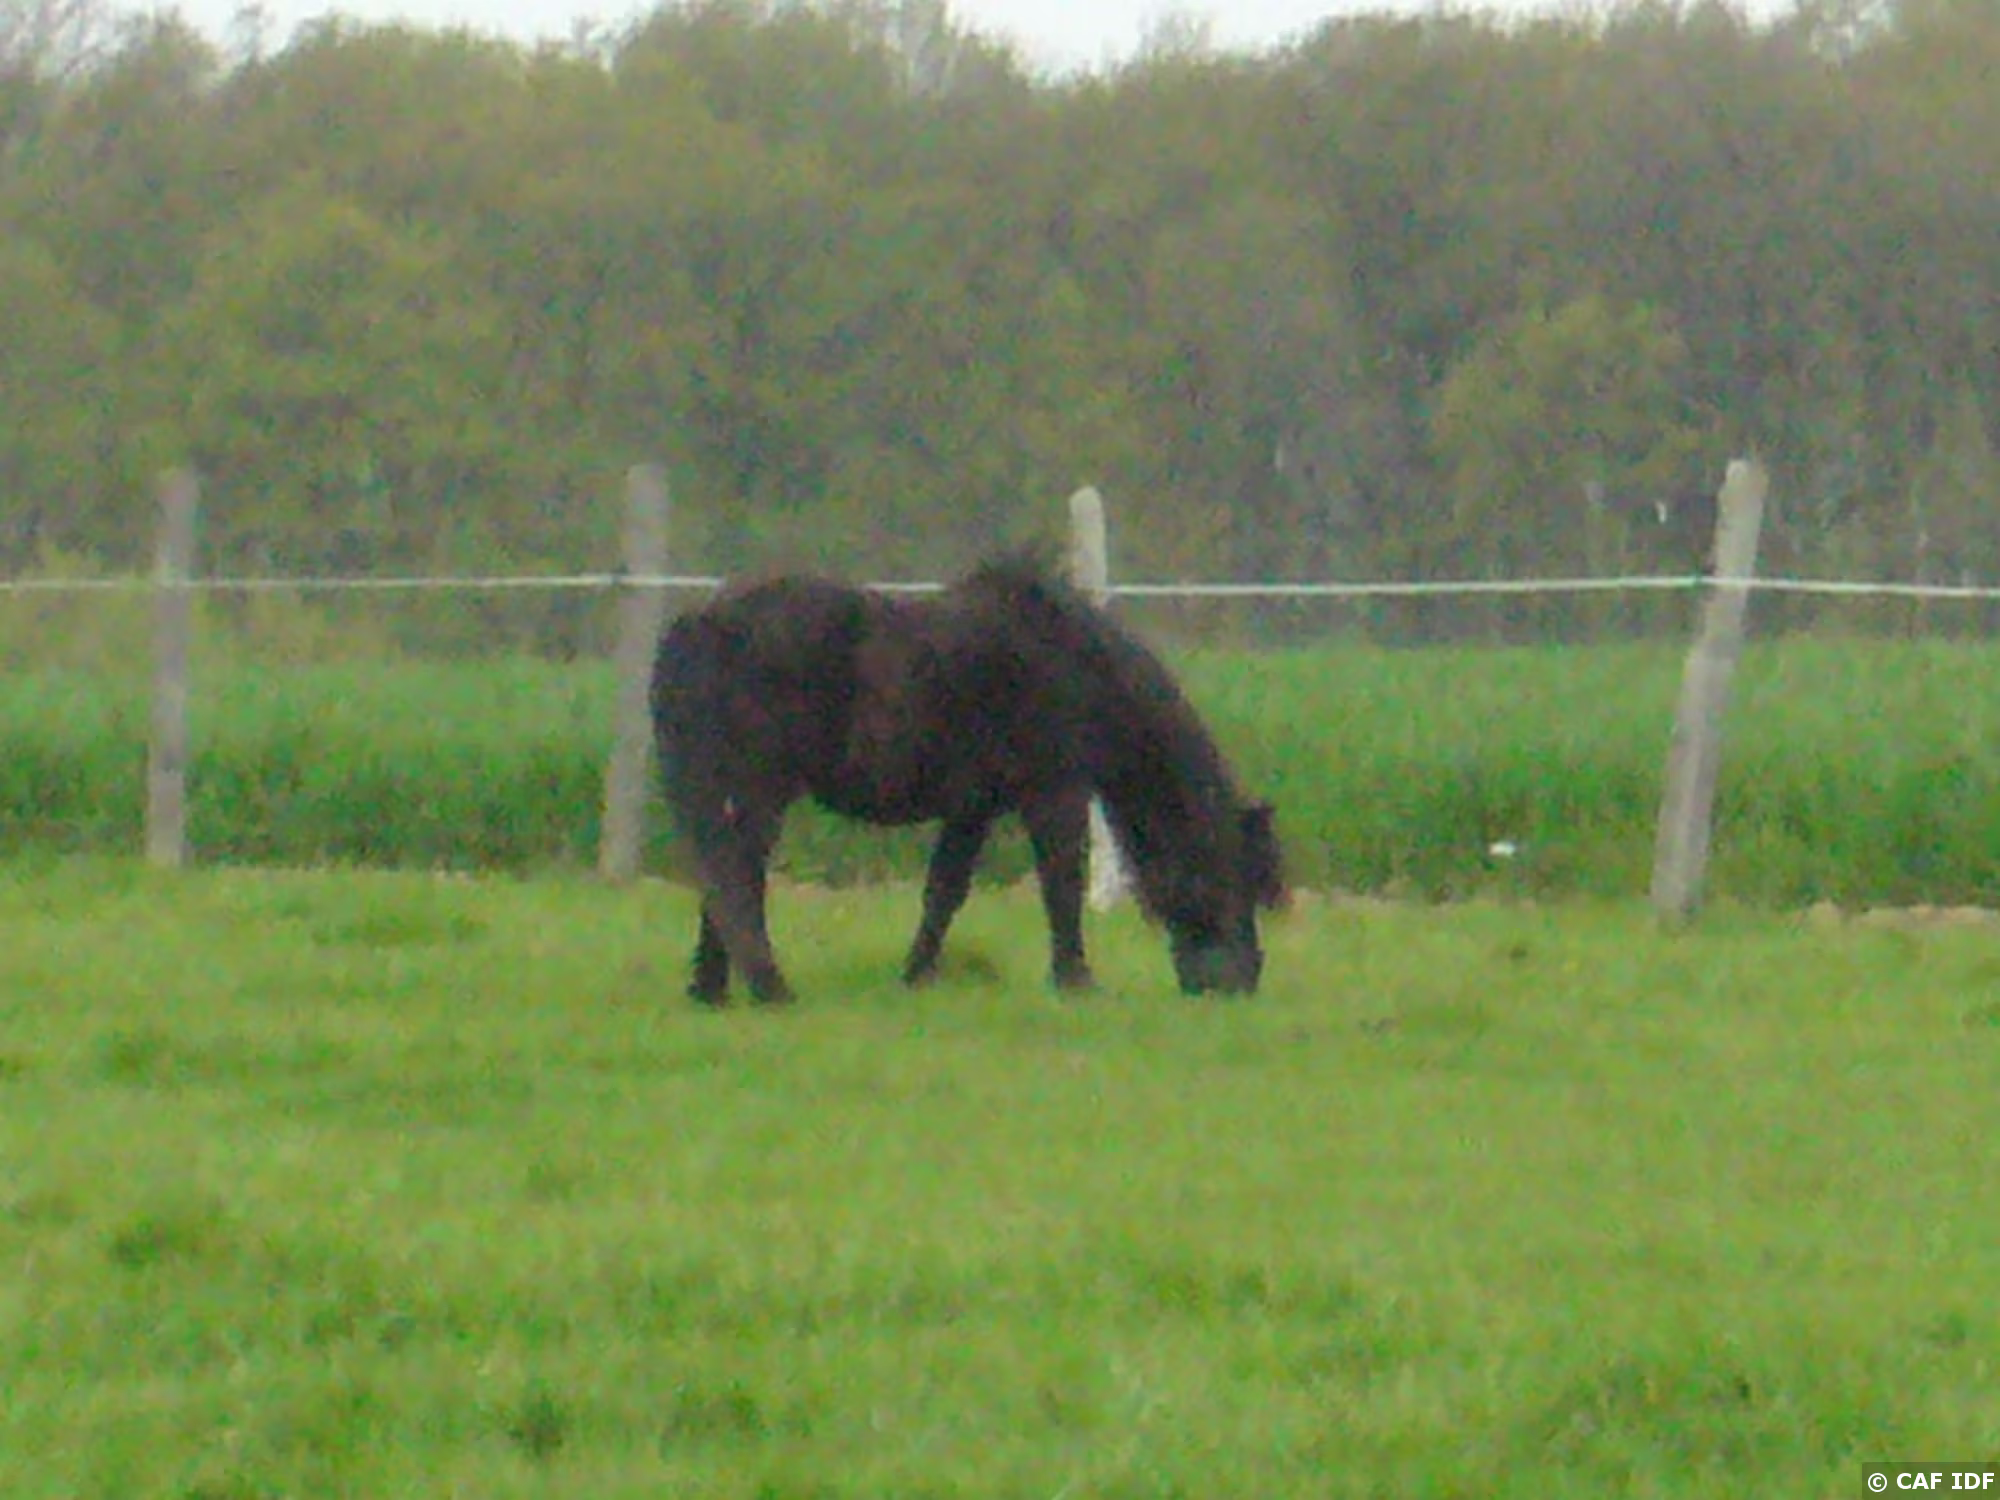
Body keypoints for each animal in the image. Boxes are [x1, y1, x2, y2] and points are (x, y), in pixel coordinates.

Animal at [648, 551, 1287, 1006]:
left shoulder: (972, 807)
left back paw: (712, 990)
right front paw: (1076, 980)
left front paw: (916, 975)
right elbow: (1062, 882)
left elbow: (944, 893)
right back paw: (767, 987)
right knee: (736, 877)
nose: (1240, 982)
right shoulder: (1054, 794)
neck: (1073, 665)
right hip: (760, 792)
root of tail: (703, 619)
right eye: (1235, 875)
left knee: (723, 875)